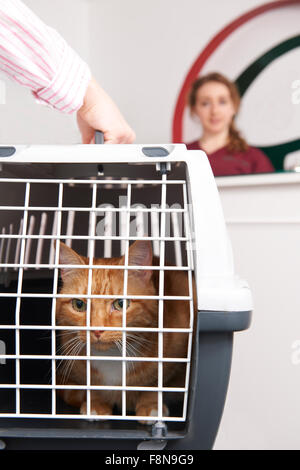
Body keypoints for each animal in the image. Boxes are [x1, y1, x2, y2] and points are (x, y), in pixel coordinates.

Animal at [55, 241, 195, 420]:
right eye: (79, 305)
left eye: (121, 304)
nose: (96, 329)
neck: (111, 357)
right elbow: (91, 386)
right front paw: (96, 404)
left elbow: (155, 383)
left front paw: (151, 405)